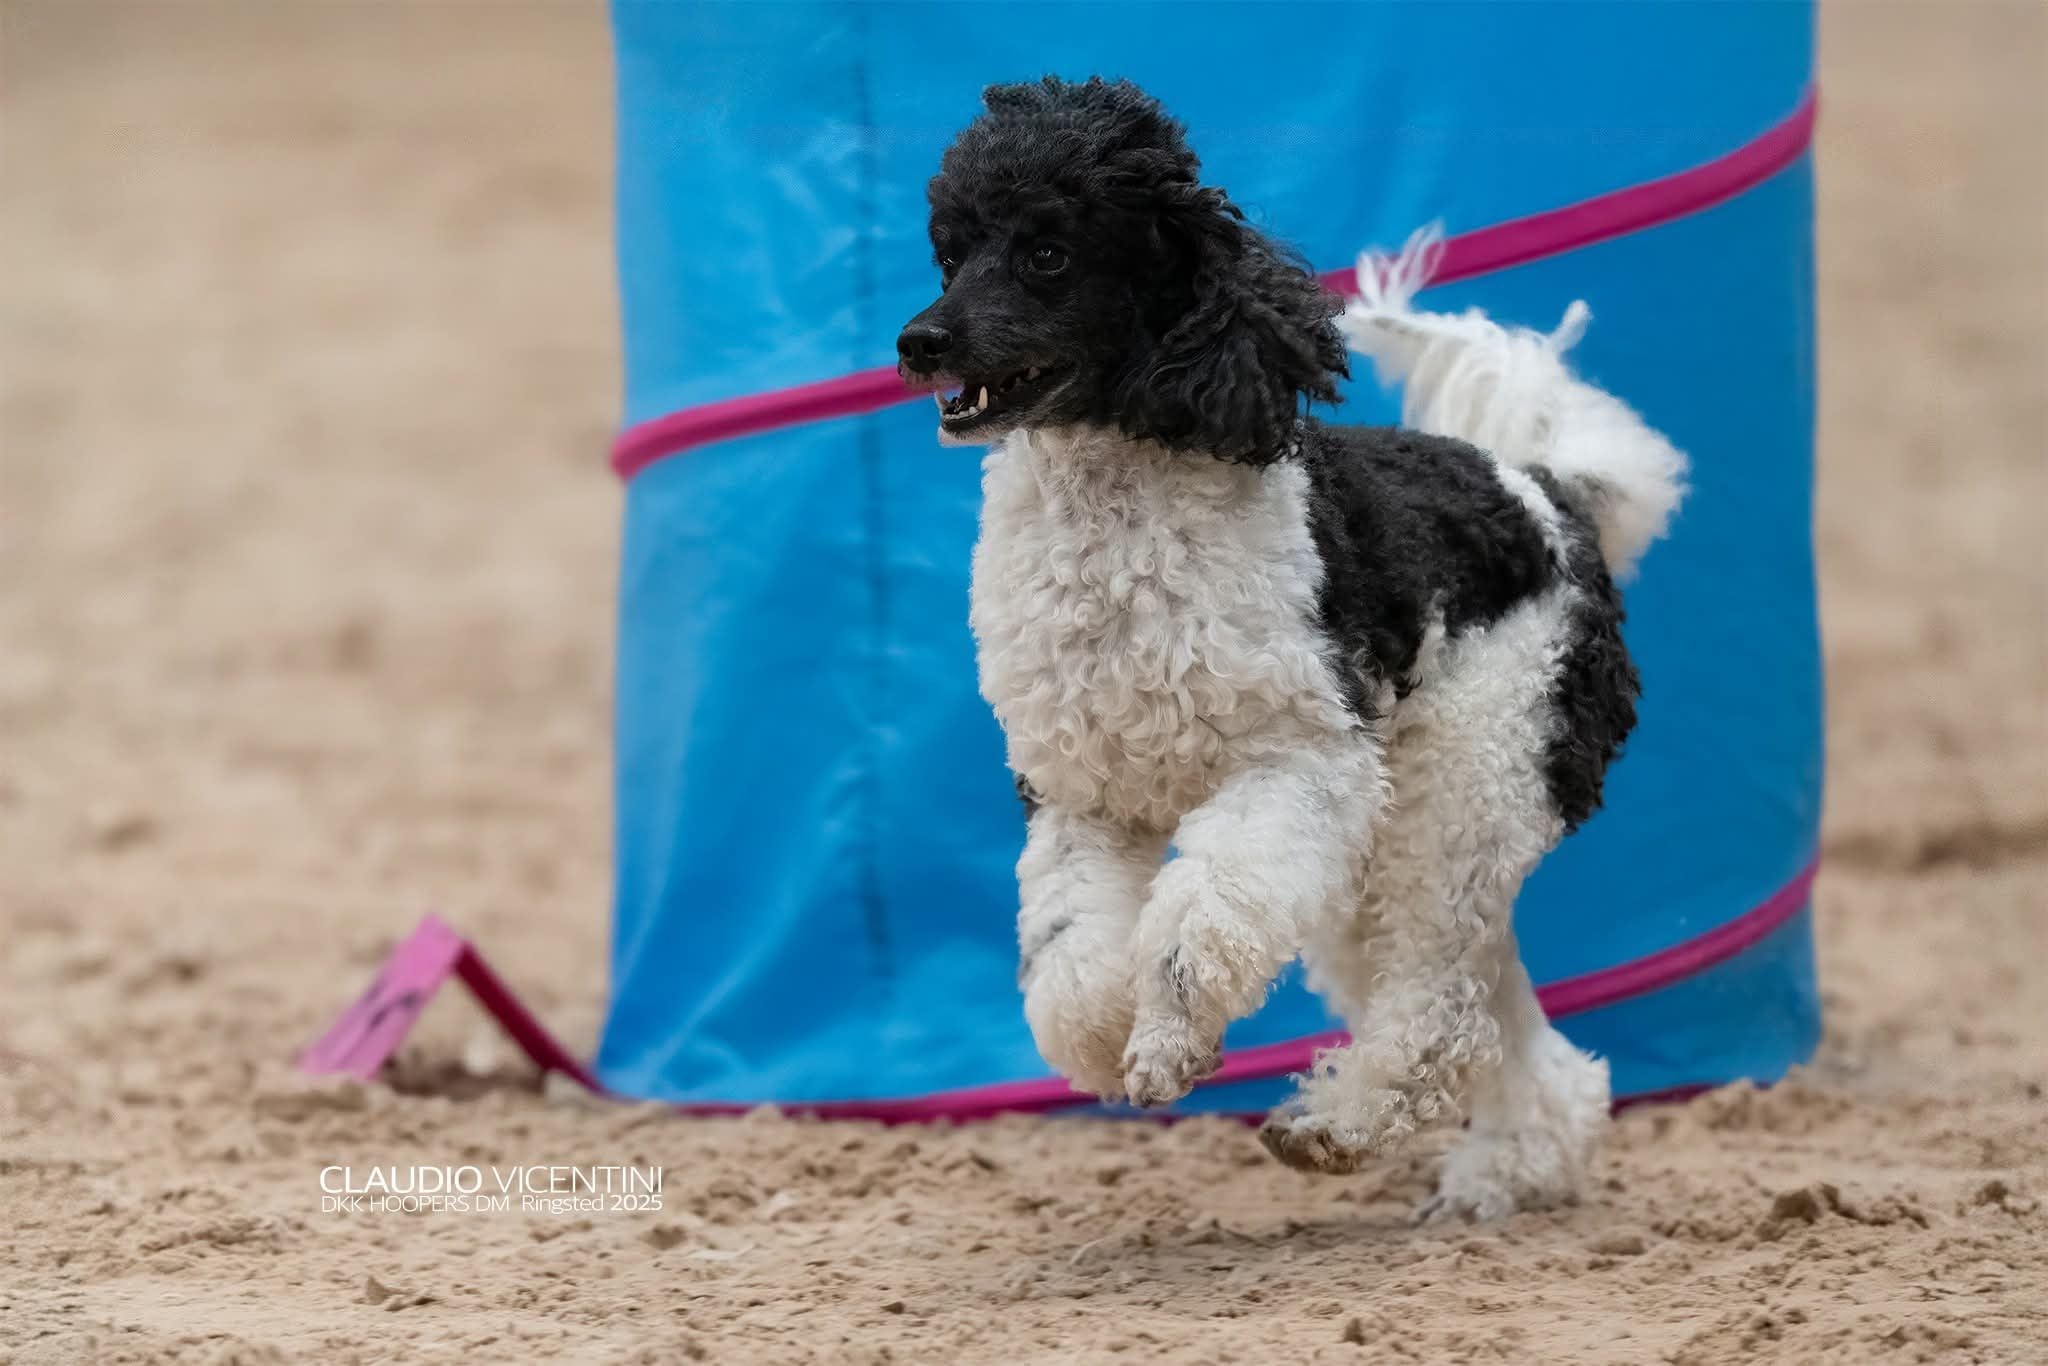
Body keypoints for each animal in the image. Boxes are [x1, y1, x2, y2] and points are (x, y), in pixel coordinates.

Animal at [896, 77, 1686, 1220]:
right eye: (949, 251)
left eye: (1047, 251)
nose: (919, 341)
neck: (1119, 518)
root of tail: (1552, 497)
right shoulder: (1081, 796)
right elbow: (1071, 957)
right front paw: (1111, 1040)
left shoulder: (1298, 765)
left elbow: (1194, 921)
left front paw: (1168, 1041)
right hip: (1391, 843)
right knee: (1489, 1006)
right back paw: (1510, 1161)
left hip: (1467, 781)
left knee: (1438, 1005)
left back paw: (1340, 1125)